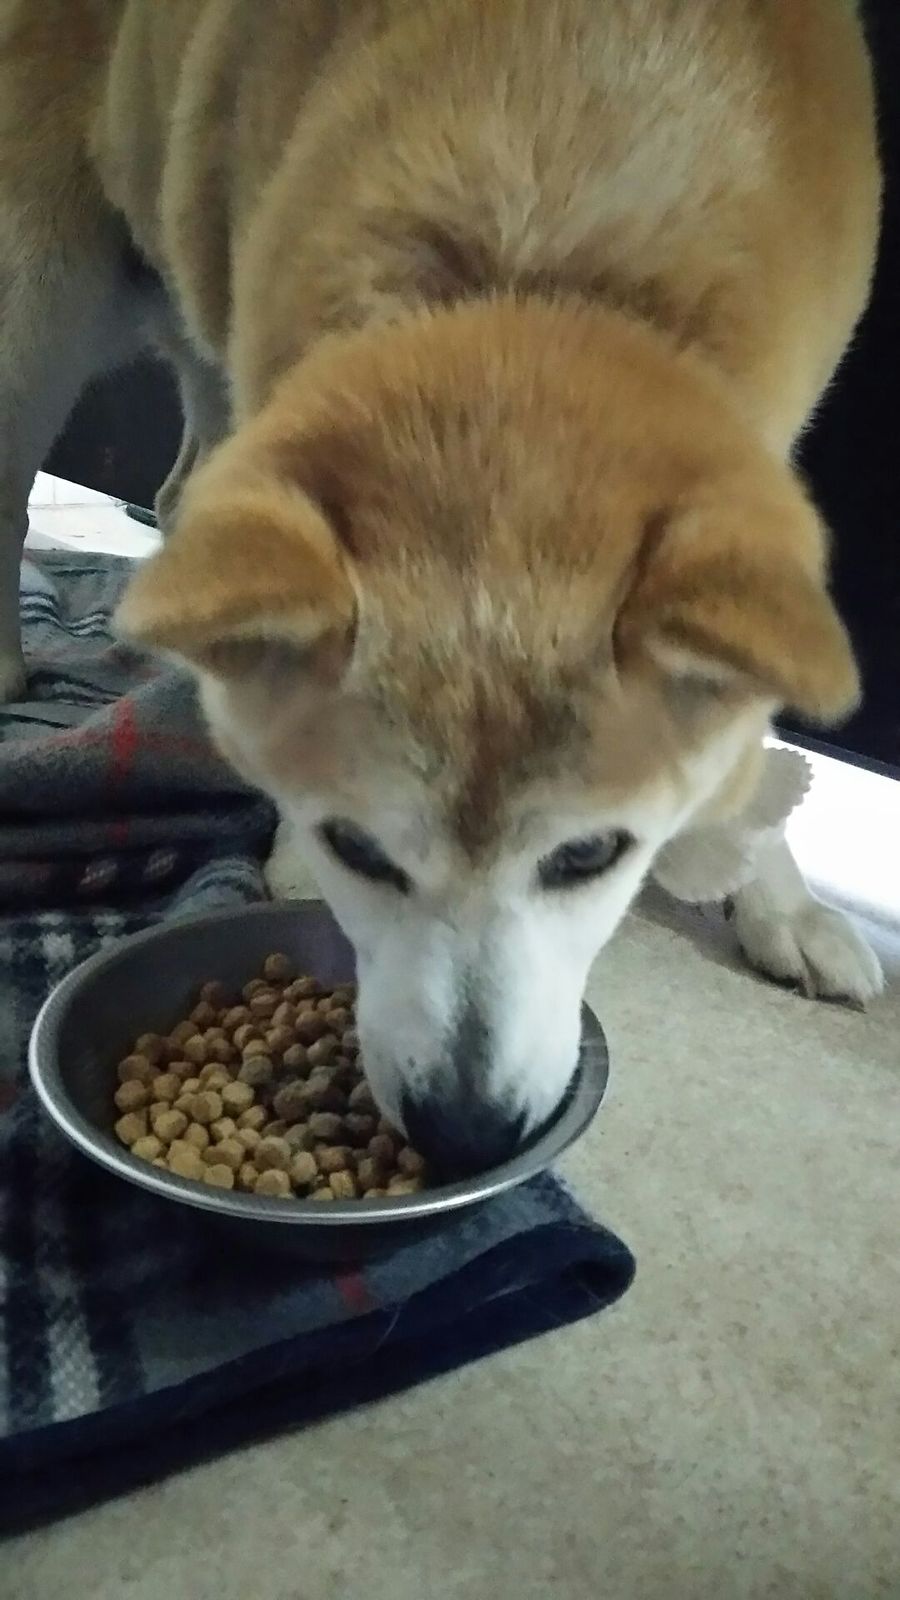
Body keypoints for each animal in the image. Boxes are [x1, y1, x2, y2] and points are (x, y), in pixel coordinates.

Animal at [0, 0, 884, 1172]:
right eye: (356, 848)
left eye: (591, 854)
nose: (467, 1131)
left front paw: (775, 894)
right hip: (43, 295)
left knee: (185, 491)